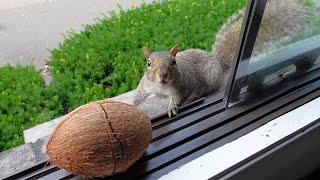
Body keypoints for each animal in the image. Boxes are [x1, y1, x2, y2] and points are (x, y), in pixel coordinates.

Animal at [132, 0, 318, 116]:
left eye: (174, 62)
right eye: (148, 63)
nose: (162, 76)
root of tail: (218, 63)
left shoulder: (181, 87)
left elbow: (177, 97)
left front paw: (172, 107)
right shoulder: (145, 85)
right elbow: (138, 95)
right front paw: (132, 104)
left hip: (209, 79)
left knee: (204, 90)